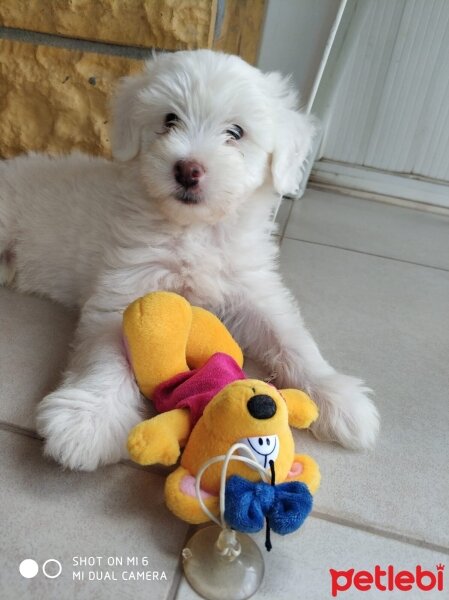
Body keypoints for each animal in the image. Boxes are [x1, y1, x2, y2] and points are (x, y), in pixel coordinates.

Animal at [0, 49, 378, 468]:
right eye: (170, 120)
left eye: (236, 132)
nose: (187, 169)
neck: (195, 229)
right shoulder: (127, 287)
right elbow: (106, 357)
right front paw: (89, 419)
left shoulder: (254, 289)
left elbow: (292, 338)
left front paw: (339, 397)